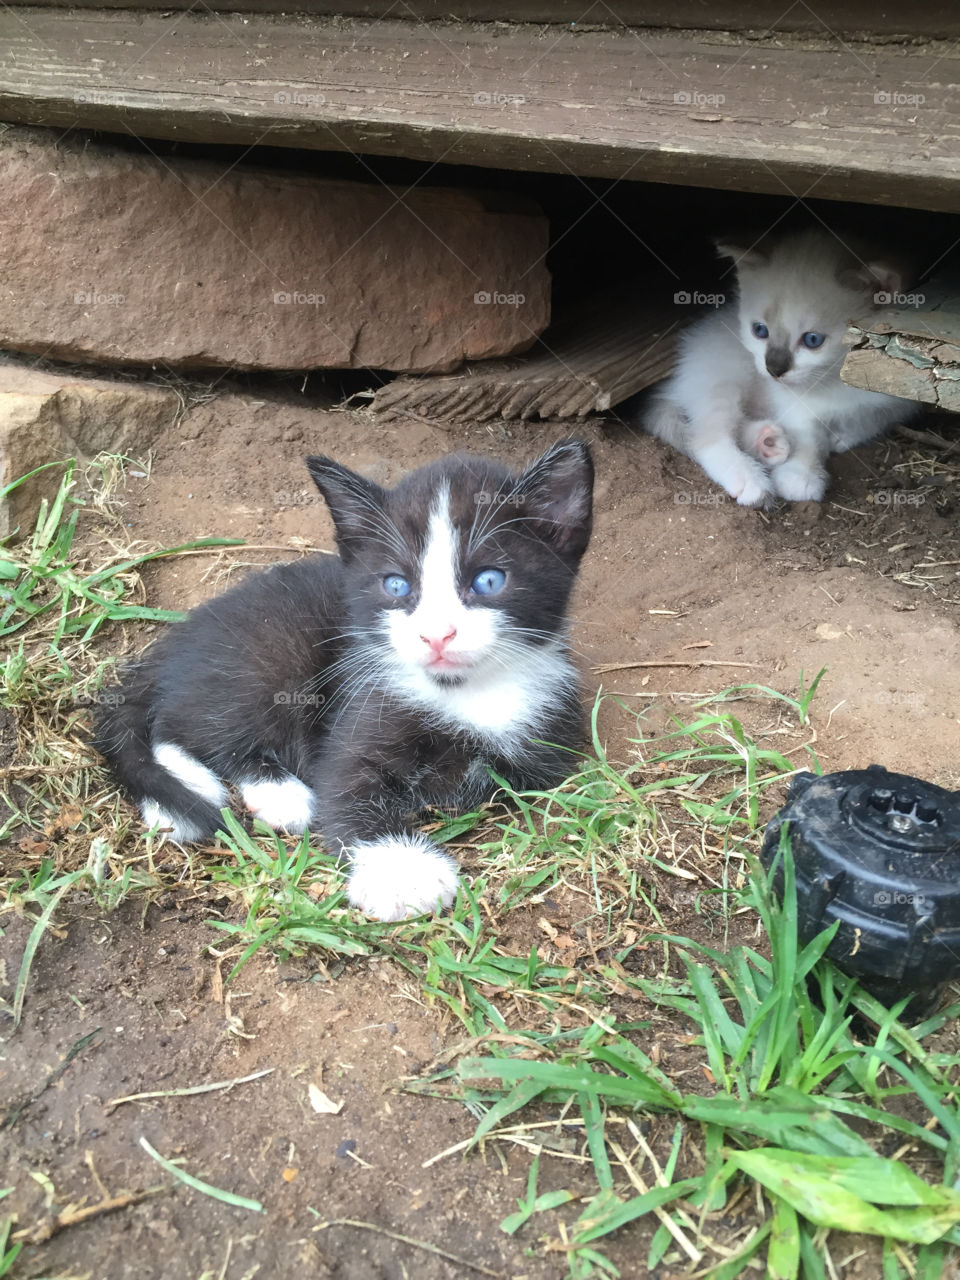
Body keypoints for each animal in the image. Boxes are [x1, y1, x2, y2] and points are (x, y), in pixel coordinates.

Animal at [97, 440, 593, 921]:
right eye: (396, 586)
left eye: (488, 580)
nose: (436, 635)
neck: (466, 692)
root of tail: (169, 647)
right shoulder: (361, 709)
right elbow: (346, 785)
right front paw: (404, 873)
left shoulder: (547, 743)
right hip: (270, 654)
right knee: (180, 725)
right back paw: (249, 792)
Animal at [650, 227, 921, 506]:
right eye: (759, 330)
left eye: (813, 340)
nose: (774, 369)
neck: (836, 382)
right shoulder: (793, 404)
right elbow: (807, 436)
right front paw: (800, 475)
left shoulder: (900, 397)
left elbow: (876, 419)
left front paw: (845, 435)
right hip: (722, 378)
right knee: (706, 436)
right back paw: (750, 480)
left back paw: (767, 442)